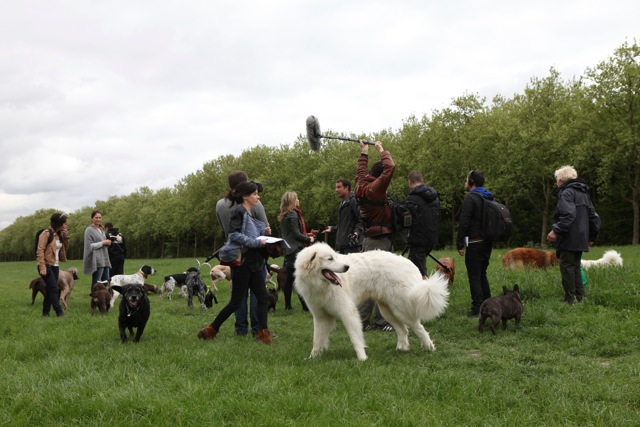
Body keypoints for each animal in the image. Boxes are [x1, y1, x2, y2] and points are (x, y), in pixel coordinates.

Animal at [296, 244, 450, 362]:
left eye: (334, 256)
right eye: (330, 259)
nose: (347, 267)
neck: (319, 286)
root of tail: (409, 262)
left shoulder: (348, 312)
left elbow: (355, 337)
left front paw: (362, 358)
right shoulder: (320, 316)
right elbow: (317, 339)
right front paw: (312, 358)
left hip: (401, 309)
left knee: (419, 328)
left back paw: (429, 348)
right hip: (387, 311)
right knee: (403, 330)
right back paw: (401, 349)